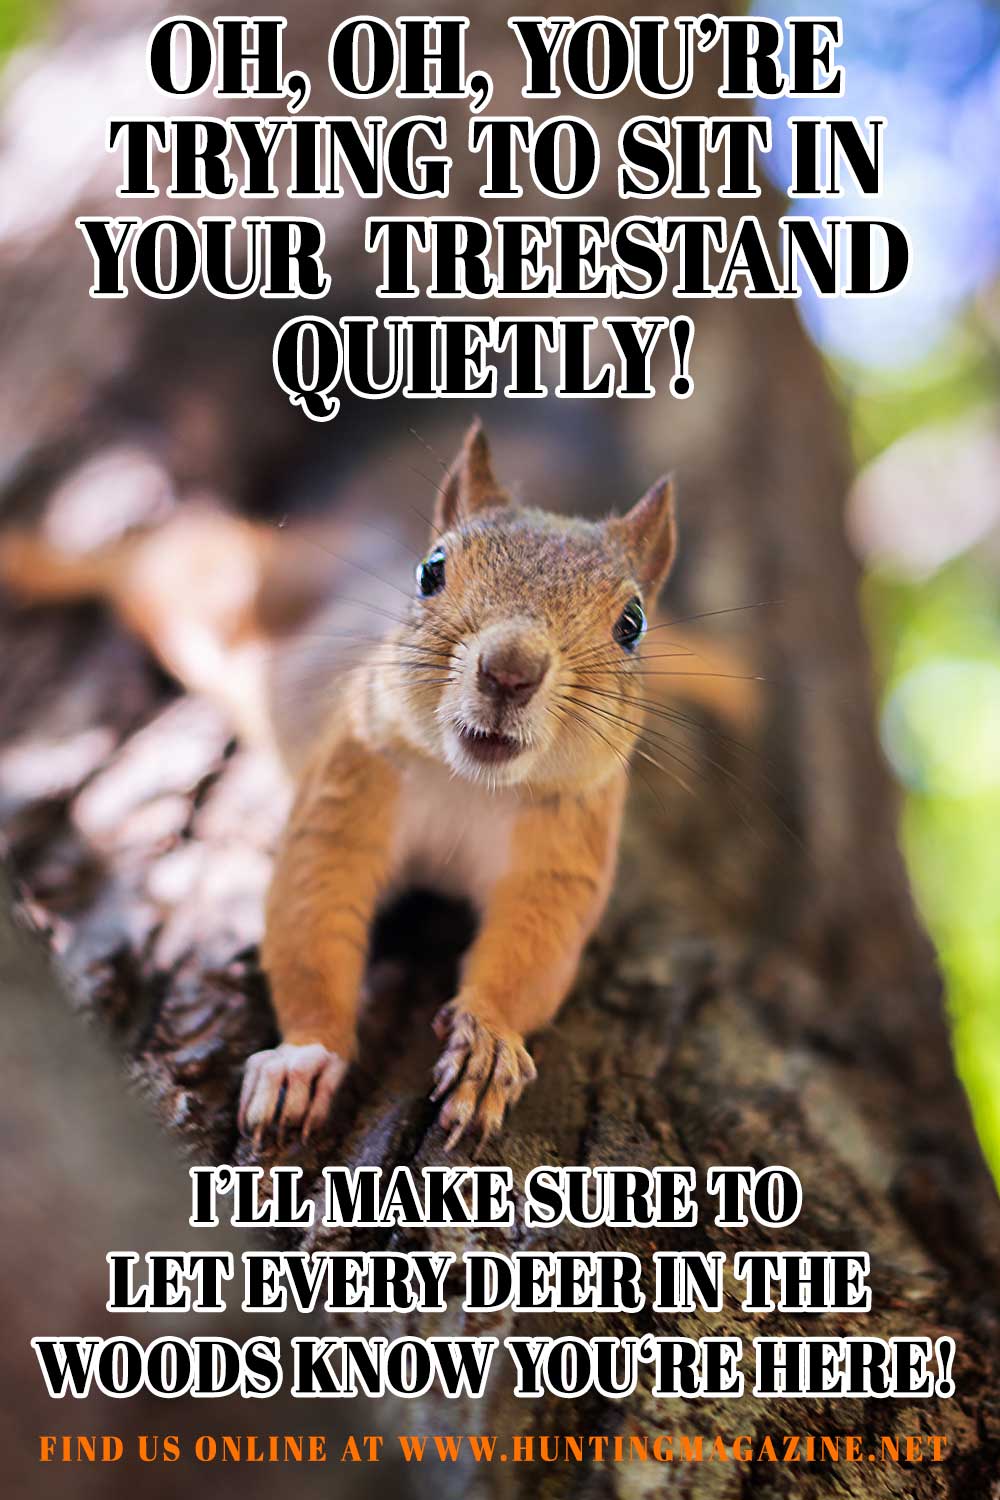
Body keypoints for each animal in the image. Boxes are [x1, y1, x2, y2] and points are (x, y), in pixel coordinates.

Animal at [0, 422, 755, 1150]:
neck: (468, 784)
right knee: (163, 558)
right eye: (432, 570)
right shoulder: (347, 786)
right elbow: (311, 909)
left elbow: (534, 949)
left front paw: (489, 1043)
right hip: (222, 593)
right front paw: (304, 1057)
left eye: (632, 624)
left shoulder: (565, 849)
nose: (510, 670)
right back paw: (41, 563)